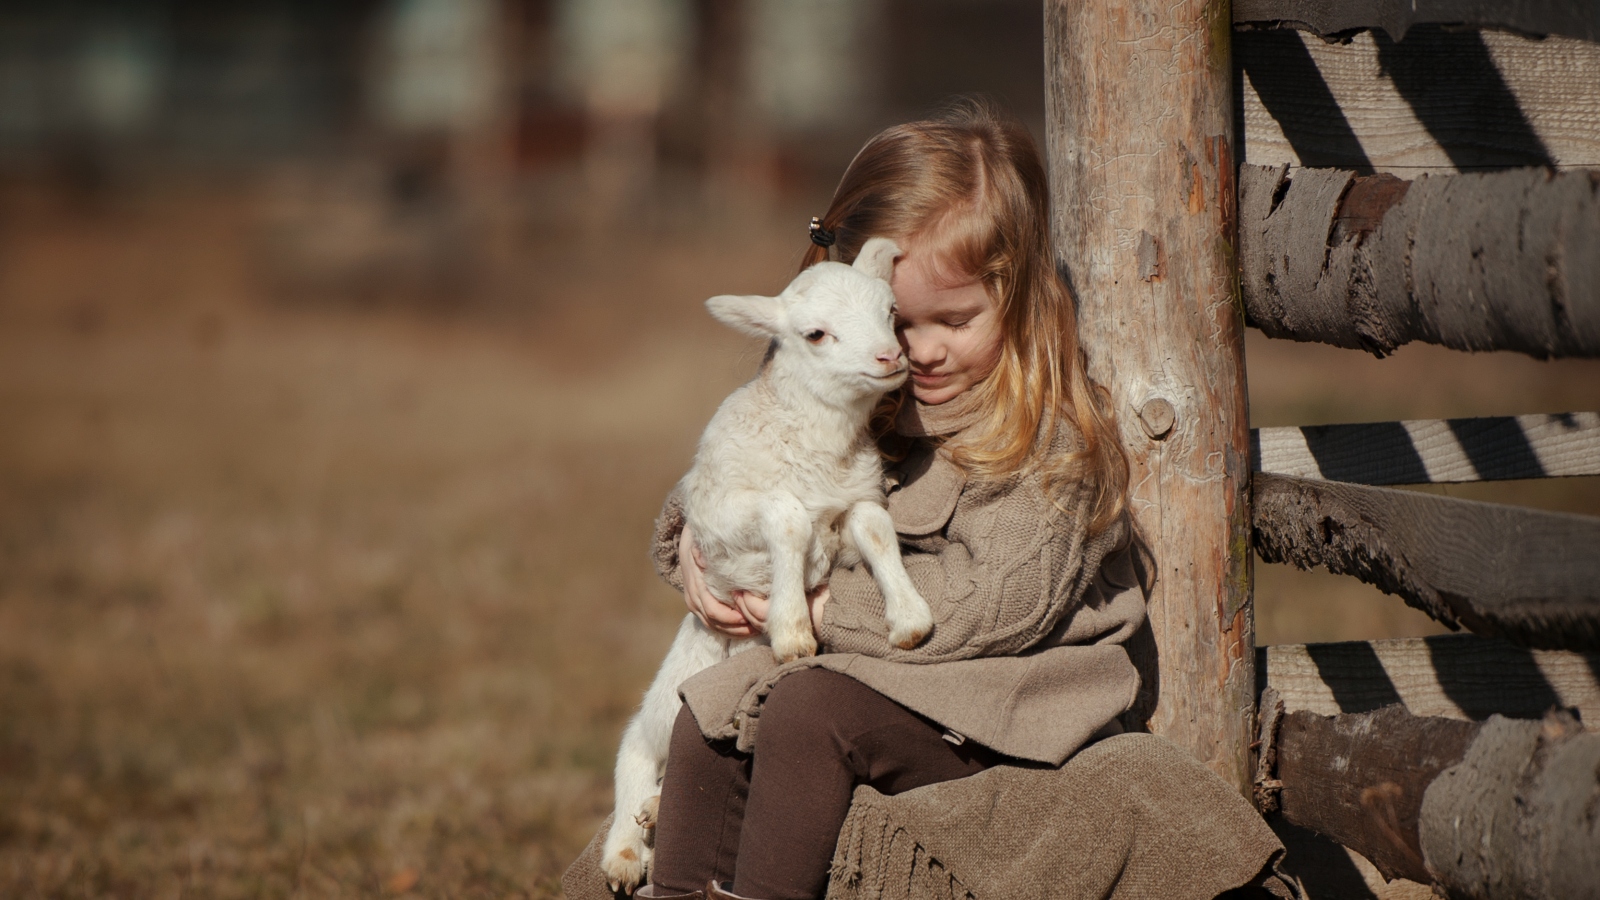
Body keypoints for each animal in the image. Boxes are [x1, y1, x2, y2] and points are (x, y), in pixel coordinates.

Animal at [601, 235, 934, 883]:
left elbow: (878, 530)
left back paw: (654, 813)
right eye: (816, 334)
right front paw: (791, 630)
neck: (818, 447)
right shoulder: (722, 515)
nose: (889, 358)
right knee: (634, 751)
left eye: (891, 312)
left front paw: (909, 618)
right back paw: (626, 851)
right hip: (667, 699)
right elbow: (786, 515)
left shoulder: (855, 499)